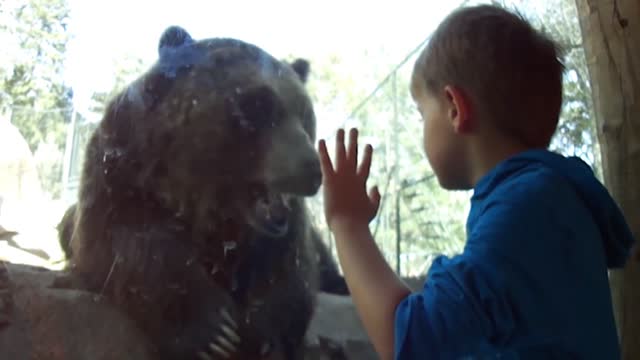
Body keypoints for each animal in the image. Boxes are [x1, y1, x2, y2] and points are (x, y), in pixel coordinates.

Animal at [65, 26, 348, 360]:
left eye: (305, 113)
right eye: (257, 107)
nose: (311, 169)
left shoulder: (281, 231)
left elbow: (291, 272)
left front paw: (264, 335)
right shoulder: (122, 169)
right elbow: (125, 242)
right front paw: (215, 332)